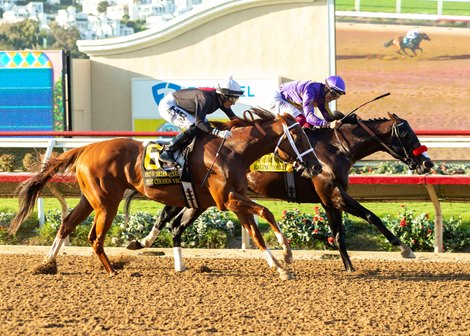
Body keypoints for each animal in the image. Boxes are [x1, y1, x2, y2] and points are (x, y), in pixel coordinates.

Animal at [9, 109, 320, 280]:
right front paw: (287, 253)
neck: (232, 152)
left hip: (90, 200)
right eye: (299, 137)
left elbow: (255, 235)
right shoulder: (228, 200)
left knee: (66, 224)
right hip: (107, 204)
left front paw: (279, 266)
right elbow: (266, 212)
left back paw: (48, 263)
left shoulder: (233, 202)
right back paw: (111, 270)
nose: (316, 165)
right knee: (94, 237)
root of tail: (86, 148)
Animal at [127, 111, 434, 272]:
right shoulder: (331, 193)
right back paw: (144, 243)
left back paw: (146, 244)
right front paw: (404, 248)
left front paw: (348, 266)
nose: (427, 163)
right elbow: (371, 217)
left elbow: (339, 232)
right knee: (169, 217)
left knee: (174, 222)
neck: (337, 147)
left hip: (200, 200)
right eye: (406, 134)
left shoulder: (328, 198)